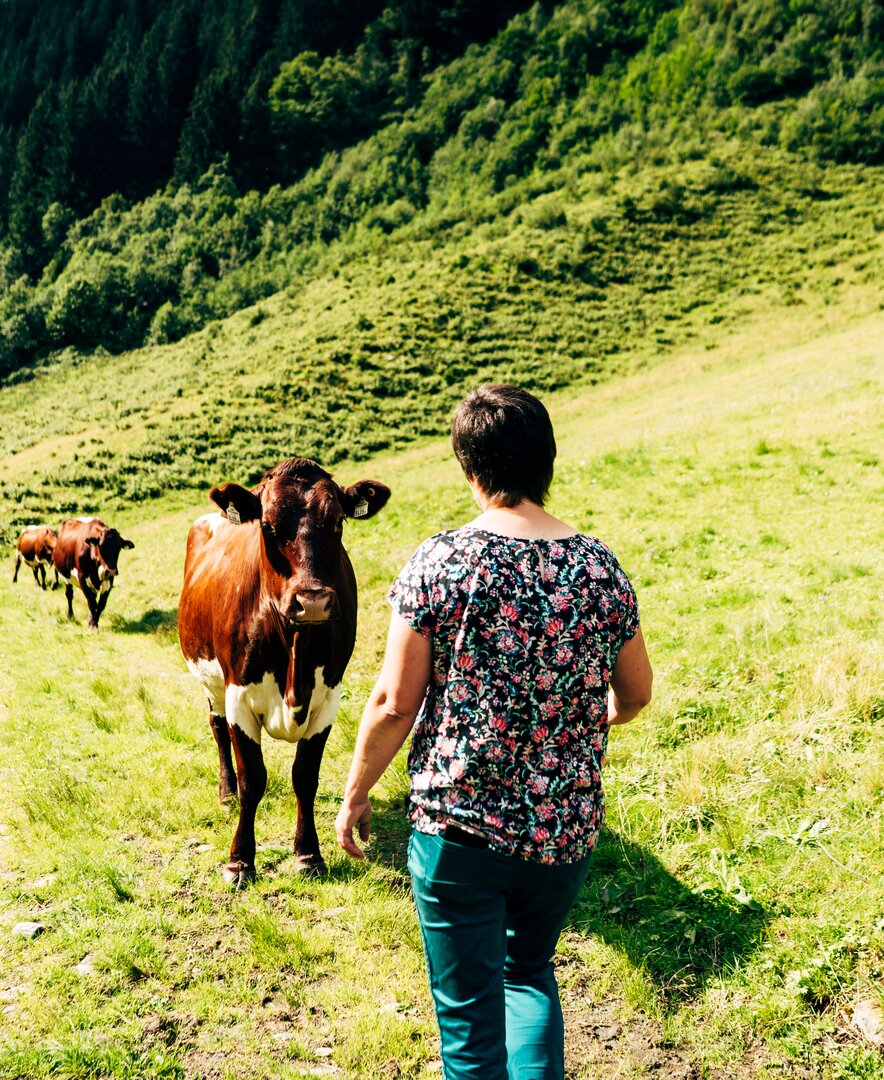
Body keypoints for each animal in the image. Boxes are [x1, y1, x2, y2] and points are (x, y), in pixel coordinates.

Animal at [178, 455, 388, 885]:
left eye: (338, 522)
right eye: (268, 526)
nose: (313, 601)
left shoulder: (328, 698)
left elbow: (305, 777)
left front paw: (309, 855)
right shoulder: (238, 696)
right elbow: (253, 780)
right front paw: (240, 860)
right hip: (211, 684)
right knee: (217, 729)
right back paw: (224, 792)